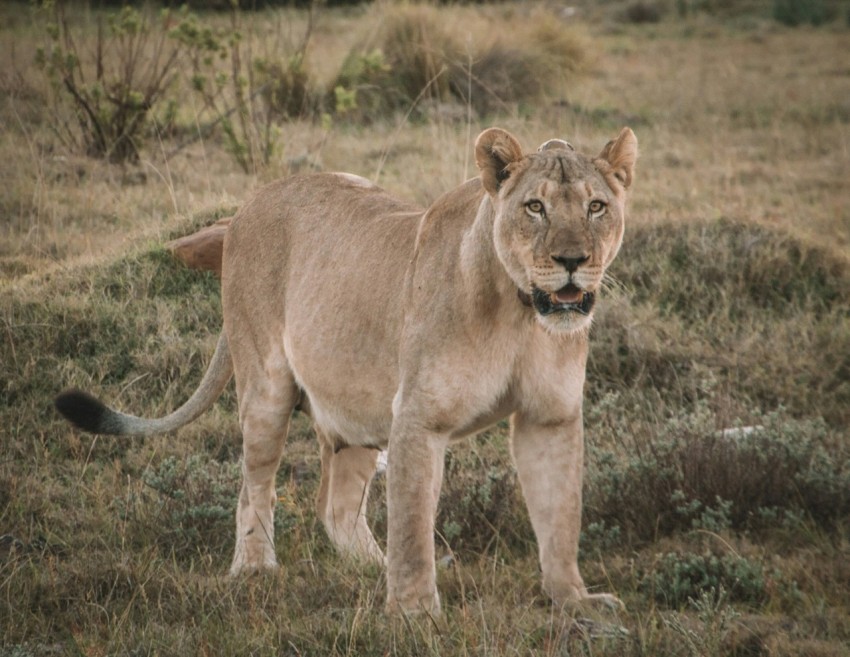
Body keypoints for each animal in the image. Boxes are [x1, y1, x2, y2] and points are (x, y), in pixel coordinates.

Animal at [55, 126, 638, 615]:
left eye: (597, 207)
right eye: (535, 207)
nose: (572, 261)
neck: (520, 314)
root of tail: (249, 204)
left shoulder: (550, 418)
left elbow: (560, 516)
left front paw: (575, 601)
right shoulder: (418, 418)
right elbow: (411, 522)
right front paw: (414, 614)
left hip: (358, 411)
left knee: (334, 507)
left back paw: (371, 569)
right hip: (265, 387)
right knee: (254, 485)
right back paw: (255, 569)